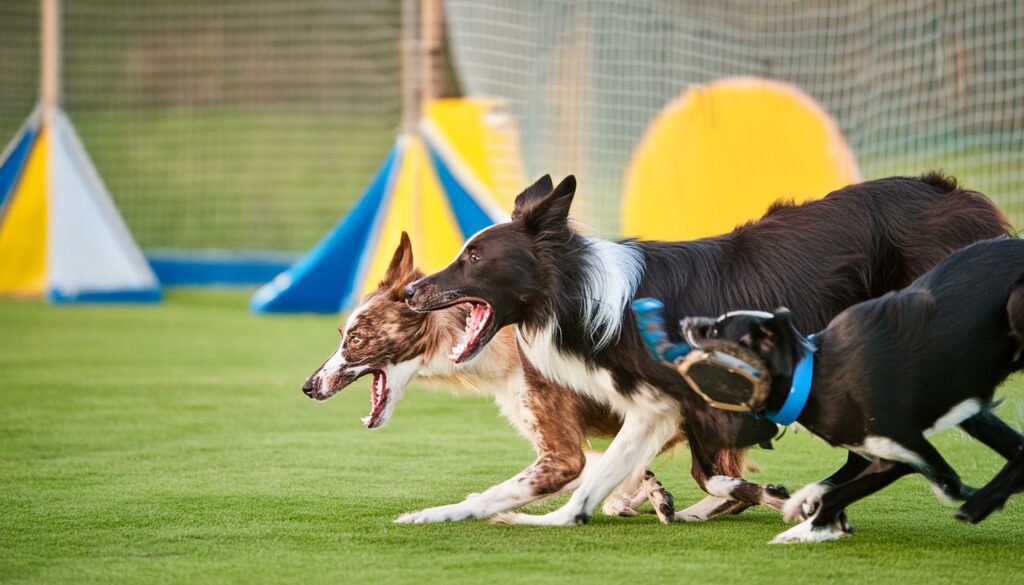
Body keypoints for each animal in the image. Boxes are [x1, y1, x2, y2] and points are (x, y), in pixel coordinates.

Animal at [684, 237, 1024, 545]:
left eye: (716, 329)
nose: (686, 320)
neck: (812, 377)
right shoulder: (895, 455)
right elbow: (835, 490)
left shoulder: (908, 451)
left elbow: (842, 493)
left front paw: (802, 529)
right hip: (972, 409)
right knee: (1017, 446)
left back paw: (978, 504)